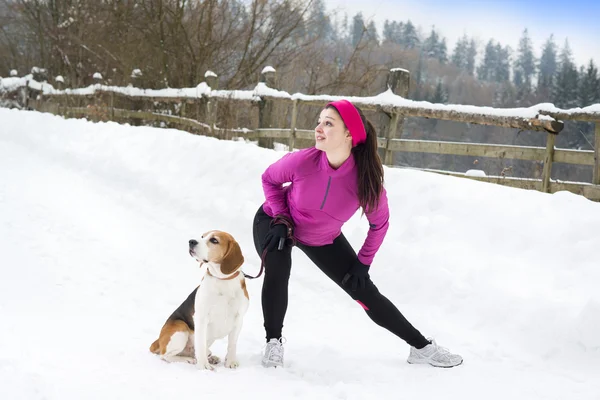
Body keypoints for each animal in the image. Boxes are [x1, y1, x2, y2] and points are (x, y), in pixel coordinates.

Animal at [150, 230, 248, 370]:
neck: (222, 280)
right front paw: (204, 366)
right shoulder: (201, 318)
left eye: (214, 240)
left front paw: (230, 362)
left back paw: (210, 357)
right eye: (202, 236)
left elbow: (232, 344)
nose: (191, 241)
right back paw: (189, 360)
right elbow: (200, 344)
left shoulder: (239, 319)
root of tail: (159, 341)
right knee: (166, 356)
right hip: (180, 328)